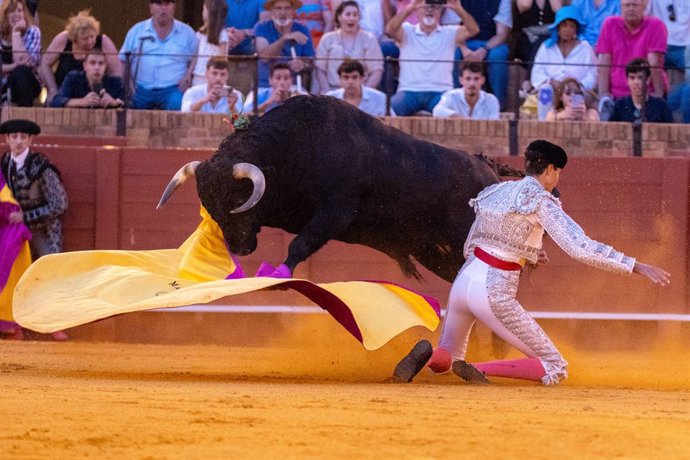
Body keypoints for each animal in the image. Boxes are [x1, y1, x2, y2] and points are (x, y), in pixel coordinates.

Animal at [160, 95, 516, 282]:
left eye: (237, 197)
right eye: (209, 205)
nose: (239, 247)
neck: (293, 149)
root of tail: (487, 166)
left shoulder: (335, 212)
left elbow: (301, 244)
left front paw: (278, 273)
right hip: (433, 251)